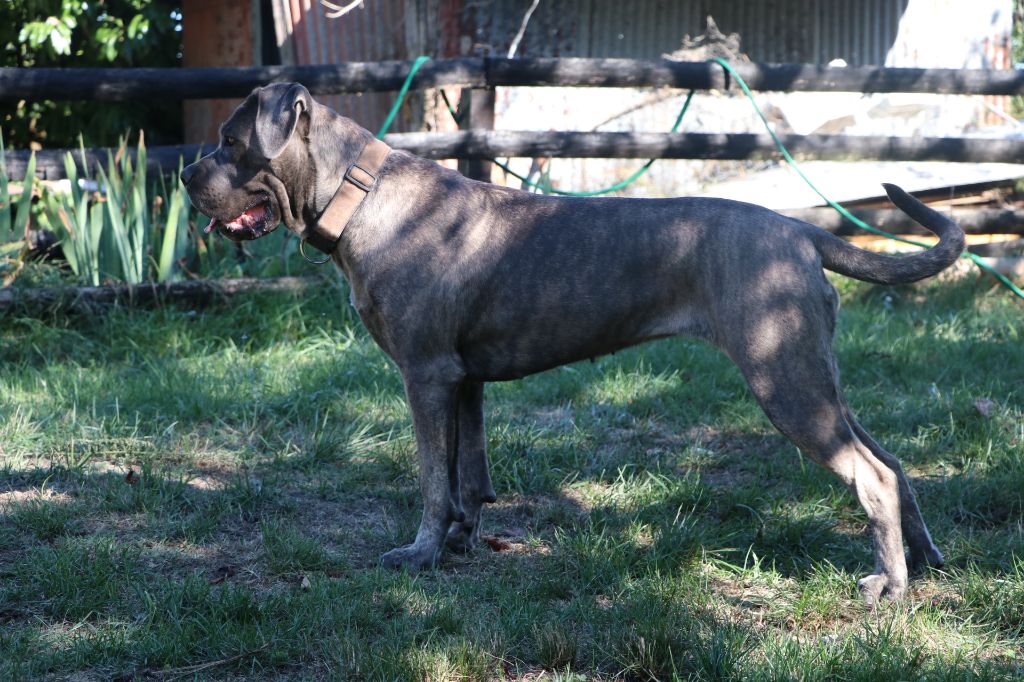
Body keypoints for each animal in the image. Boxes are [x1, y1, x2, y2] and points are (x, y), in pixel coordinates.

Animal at [181, 82, 963, 606]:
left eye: (230, 141)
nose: (185, 173)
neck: (358, 192)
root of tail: (801, 230)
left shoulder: (426, 375)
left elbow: (433, 477)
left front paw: (421, 553)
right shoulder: (463, 381)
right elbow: (467, 473)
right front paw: (462, 539)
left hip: (784, 378)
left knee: (870, 473)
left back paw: (888, 586)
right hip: (810, 373)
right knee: (891, 462)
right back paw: (924, 559)